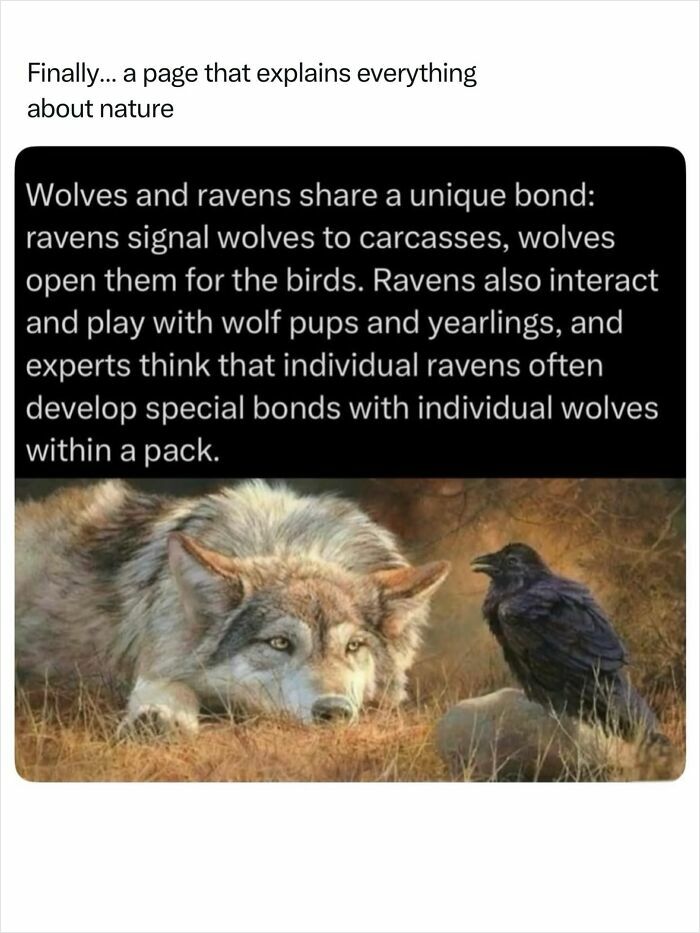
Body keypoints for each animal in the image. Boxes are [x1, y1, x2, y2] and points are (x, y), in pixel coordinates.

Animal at [16, 480, 450, 733]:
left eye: (354, 647)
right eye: (279, 643)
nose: (334, 713)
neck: (284, 541)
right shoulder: (164, 651)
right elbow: (169, 684)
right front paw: (160, 717)